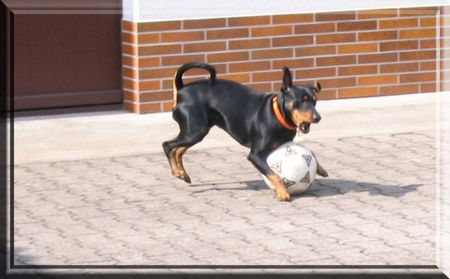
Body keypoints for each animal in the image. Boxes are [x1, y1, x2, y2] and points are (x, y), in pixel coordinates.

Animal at [163, 61, 326, 201]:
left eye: (314, 101)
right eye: (301, 100)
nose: (318, 117)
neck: (276, 114)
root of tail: (181, 89)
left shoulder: (286, 143)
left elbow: (311, 153)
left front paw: (320, 168)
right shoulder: (255, 156)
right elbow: (274, 175)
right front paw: (283, 194)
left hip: (196, 131)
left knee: (178, 150)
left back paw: (183, 174)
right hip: (194, 131)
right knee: (167, 145)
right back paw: (176, 171)